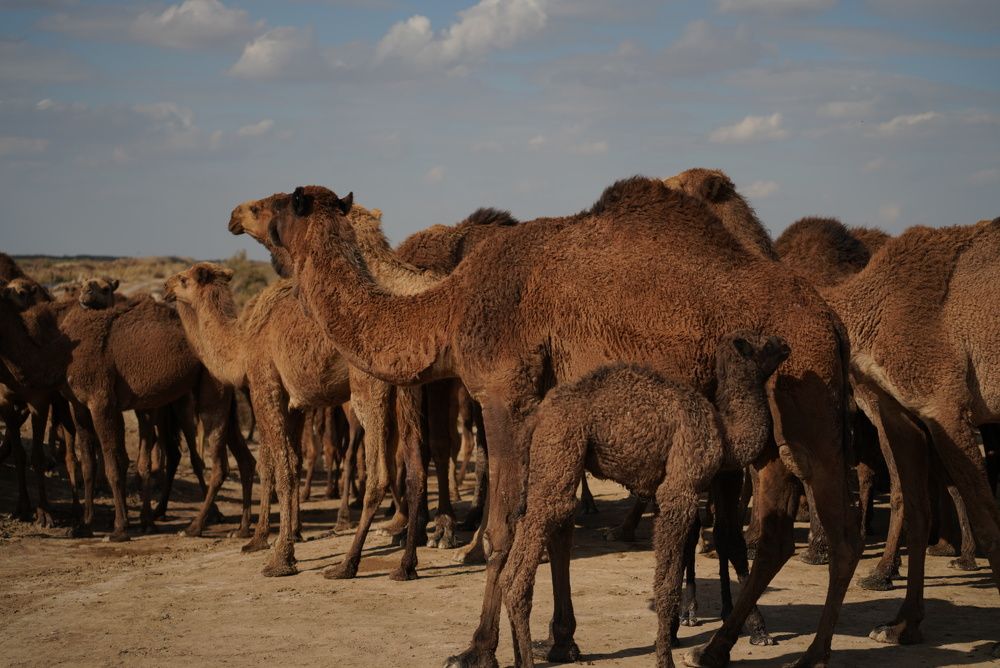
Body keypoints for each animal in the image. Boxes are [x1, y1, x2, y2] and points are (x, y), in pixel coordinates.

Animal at [0, 284, 254, 540]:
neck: (60, 355)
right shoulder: (79, 404)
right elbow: (89, 465)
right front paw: (84, 526)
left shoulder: (101, 401)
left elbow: (112, 464)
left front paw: (119, 528)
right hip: (225, 398)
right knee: (245, 458)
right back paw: (241, 529)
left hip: (210, 391)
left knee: (219, 464)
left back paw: (195, 526)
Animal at [502, 332, 789, 667]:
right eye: (764, 344)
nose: (785, 345)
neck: (724, 435)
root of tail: (537, 418)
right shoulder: (679, 489)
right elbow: (667, 587)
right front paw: (666, 658)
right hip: (560, 446)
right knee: (537, 540)